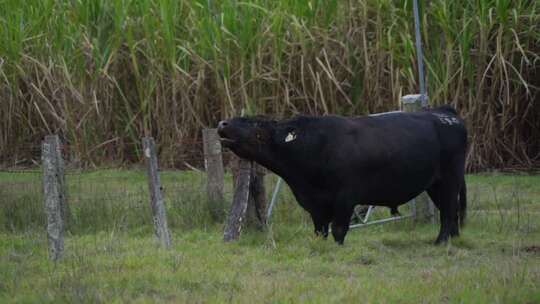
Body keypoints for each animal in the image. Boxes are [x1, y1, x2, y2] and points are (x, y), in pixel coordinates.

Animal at [217, 106, 466, 245]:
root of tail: (444, 112)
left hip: (450, 177)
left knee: (448, 211)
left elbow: (338, 229)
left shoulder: (346, 196)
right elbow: (320, 231)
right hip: (434, 184)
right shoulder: (316, 204)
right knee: (450, 210)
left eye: (255, 125)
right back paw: (452, 239)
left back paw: (440, 241)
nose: (222, 122)